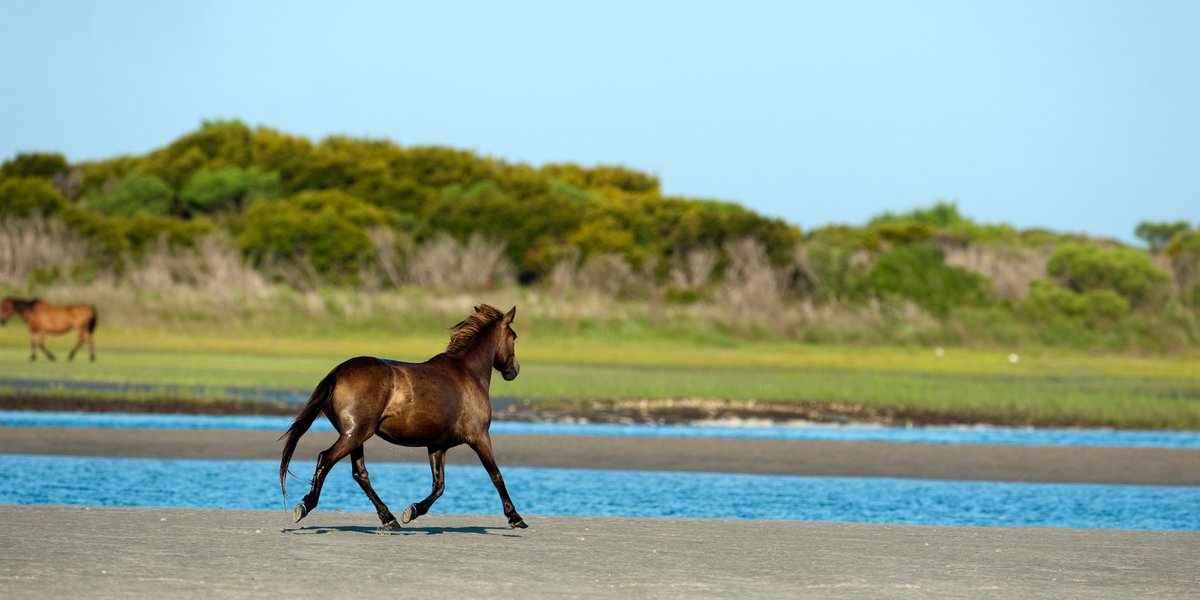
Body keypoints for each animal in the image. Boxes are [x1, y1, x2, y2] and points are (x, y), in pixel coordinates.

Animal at [280, 304, 530, 530]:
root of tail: (337, 372)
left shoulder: (437, 445)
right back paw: (305, 506)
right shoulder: (479, 436)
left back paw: (389, 519)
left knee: (360, 473)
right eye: (514, 337)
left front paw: (412, 511)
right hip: (355, 433)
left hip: (356, 435)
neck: (468, 373)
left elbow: (439, 486)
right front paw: (515, 517)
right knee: (326, 459)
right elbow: (496, 475)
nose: (514, 370)